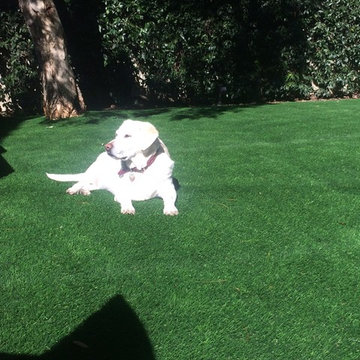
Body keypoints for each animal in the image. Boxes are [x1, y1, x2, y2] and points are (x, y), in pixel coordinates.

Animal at [46, 119, 179, 215]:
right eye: (116, 134)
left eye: (127, 136)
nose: (107, 147)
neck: (140, 168)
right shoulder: (121, 191)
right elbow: (126, 197)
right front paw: (128, 208)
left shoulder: (169, 189)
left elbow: (170, 199)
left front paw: (170, 209)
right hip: (92, 172)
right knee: (80, 181)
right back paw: (74, 189)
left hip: (100, 184)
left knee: (89, 185)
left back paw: (84, 191)